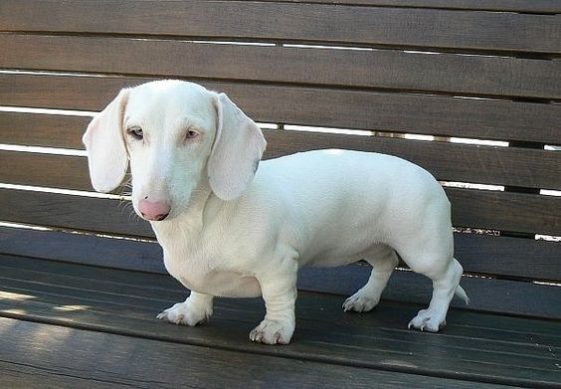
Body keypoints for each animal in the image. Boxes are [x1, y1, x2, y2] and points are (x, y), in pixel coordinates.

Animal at [83, 79, 468, 342]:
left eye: (192, 134)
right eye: (135, 132)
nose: (153, 208)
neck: (202, 219)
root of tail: (430, 178)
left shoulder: (279, 264)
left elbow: (277, 297)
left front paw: (275, 329)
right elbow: (200, 291)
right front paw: (191, 312)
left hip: (423, 248)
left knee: (450, 273)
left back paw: (432, 317)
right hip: (370, 243)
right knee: (385, 263)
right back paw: (365, 298)